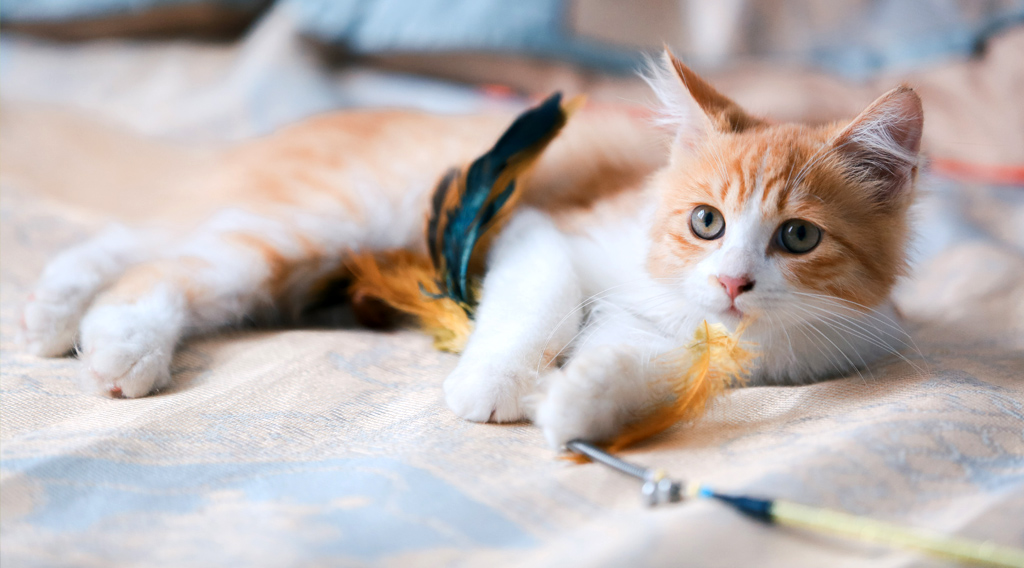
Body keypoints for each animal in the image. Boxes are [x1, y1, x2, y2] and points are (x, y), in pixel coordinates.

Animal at [22, 51, 921, 446]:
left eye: (798, 236)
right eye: (706, 222)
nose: (734, 283)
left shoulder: (702, 345)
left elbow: (640, 368)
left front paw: (579, 408)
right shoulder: (541, 231)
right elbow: (540, 305)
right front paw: (493, 386)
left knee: (147, 236)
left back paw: (52, 313)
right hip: (341, 217)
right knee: (171, 260)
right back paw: (115, 343)